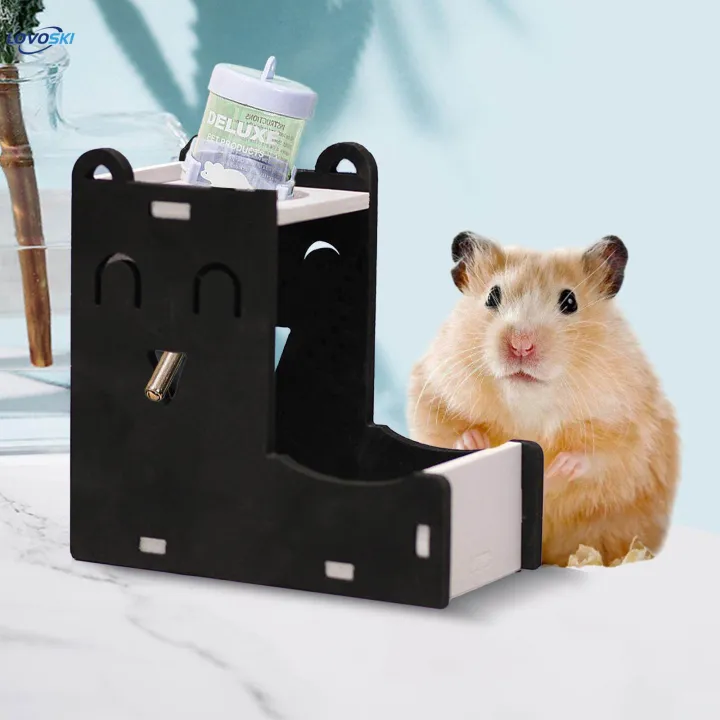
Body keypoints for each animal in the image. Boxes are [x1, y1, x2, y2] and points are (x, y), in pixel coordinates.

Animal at [407, 232, 680, 566]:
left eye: (569, 301)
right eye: (492, 296)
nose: (521, 345)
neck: (529, 405)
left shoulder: (633, 425)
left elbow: (605, 455)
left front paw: (558, 468)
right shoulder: (431, 393)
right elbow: (447, 432)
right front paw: (475, 441)